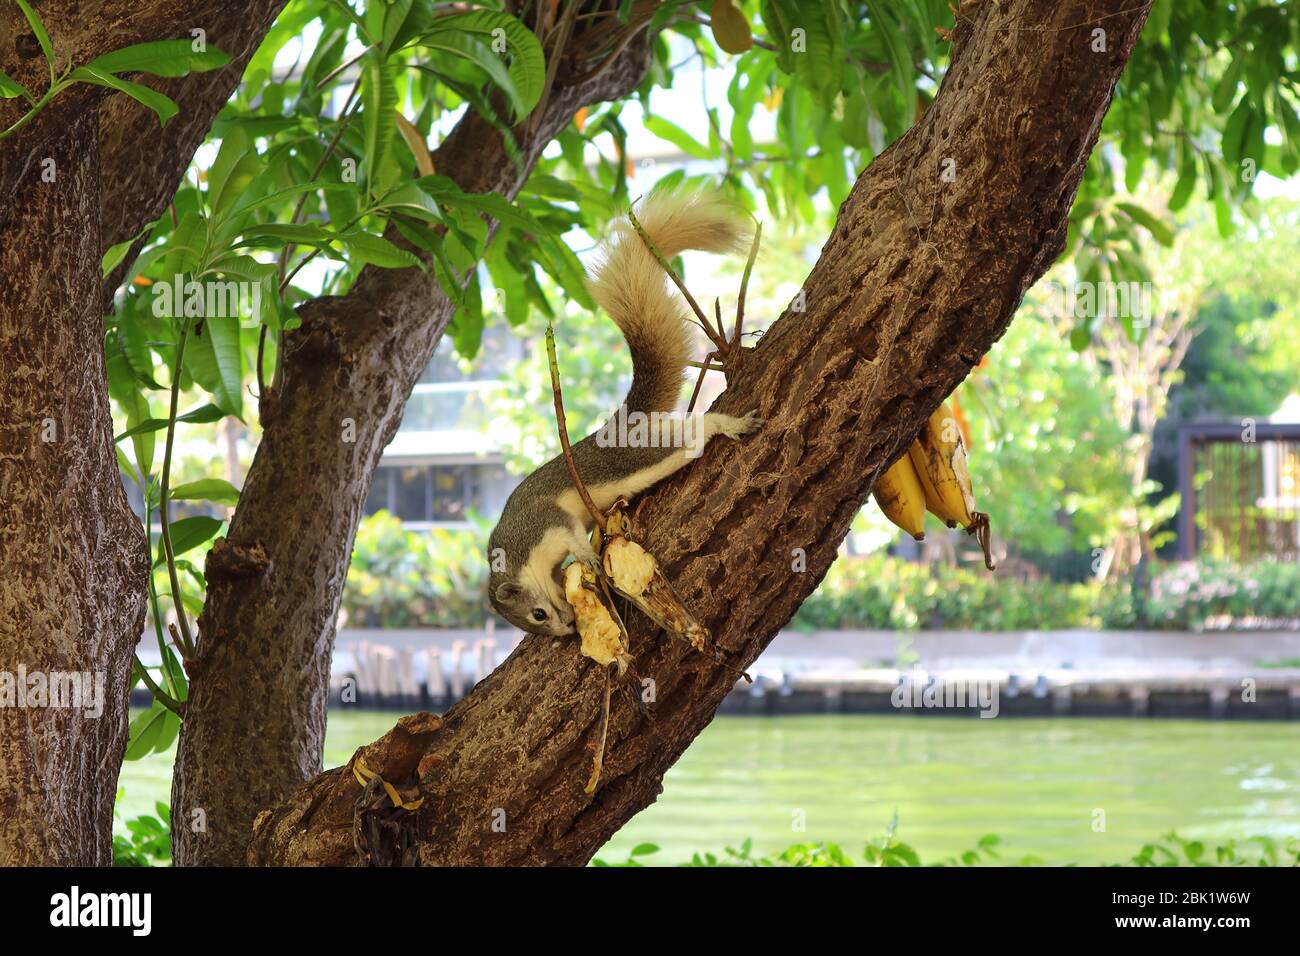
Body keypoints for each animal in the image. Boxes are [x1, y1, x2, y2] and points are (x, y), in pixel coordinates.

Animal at [487, 187, 762, 637]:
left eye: (537, 614)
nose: (567, 629)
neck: (519, 555)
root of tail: (622, 424)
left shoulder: (545, 521)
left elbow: (570, 534)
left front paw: (588, 555)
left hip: (634, 457)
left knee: (690, 438)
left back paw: (726, 423)